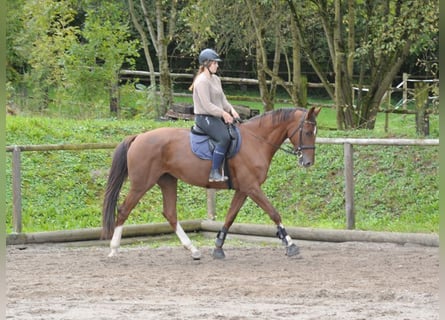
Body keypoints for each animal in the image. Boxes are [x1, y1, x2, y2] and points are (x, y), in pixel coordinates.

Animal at [101, 107, 320, 260]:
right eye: (308, 131)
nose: (308, 162)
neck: (256, 141)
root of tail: (138, 137)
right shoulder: (252, 187)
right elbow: (274, 212)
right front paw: (290, 244)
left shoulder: (243, 189)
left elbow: (230, 217)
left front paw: (218, 248)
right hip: (142, 183)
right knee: (124, 209)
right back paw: (113, 250)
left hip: (167, 180)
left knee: (170, 213)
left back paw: (193, 250)